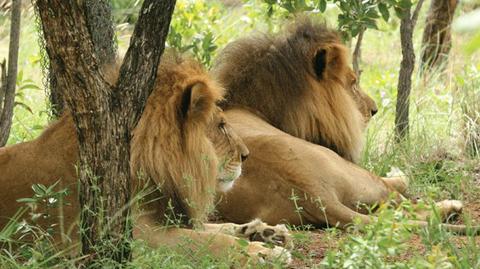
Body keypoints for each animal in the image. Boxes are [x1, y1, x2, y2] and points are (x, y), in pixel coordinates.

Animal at [0, 51, 292, 264]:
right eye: (221, 126)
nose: (246, 155)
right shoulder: (136, 238)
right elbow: (213, 241)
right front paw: (265, 253)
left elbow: (219, 229)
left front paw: (266, 232)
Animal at [212, 20, 478, 234]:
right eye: (353, 82)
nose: (374, 109)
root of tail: (311, 192)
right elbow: (402, 180)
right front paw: (400, 173)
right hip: (355, 173)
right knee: (401, 203)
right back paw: (450, 207)